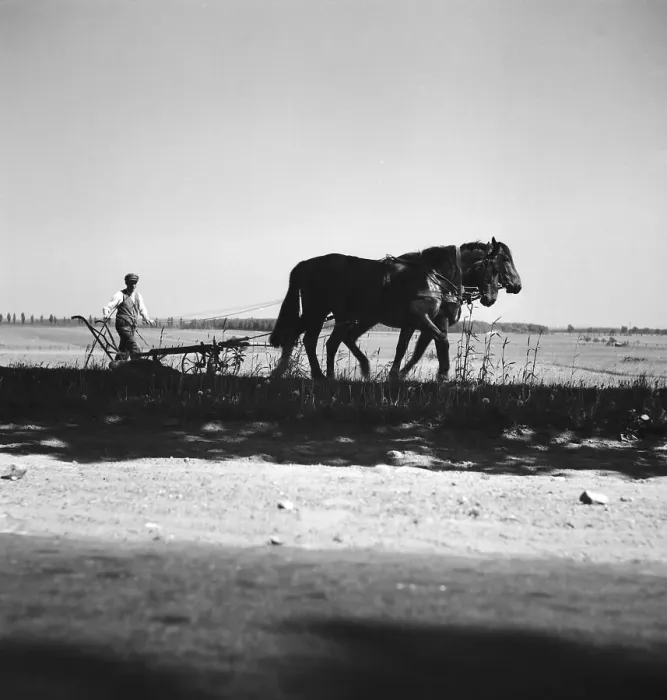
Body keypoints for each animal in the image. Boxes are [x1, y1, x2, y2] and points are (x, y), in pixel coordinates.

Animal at [268, 242, 499, 381]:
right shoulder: (420, 317)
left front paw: (396, 374)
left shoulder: (413, 323)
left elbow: (405, 348)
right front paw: (443, 373)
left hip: (326, 313)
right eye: (495, 268)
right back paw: (315, 374)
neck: (430, 275)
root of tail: (305, 264)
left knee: (308, 337)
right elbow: (440, 340)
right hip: (318, 311)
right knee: (308, 339)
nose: (492, 297)